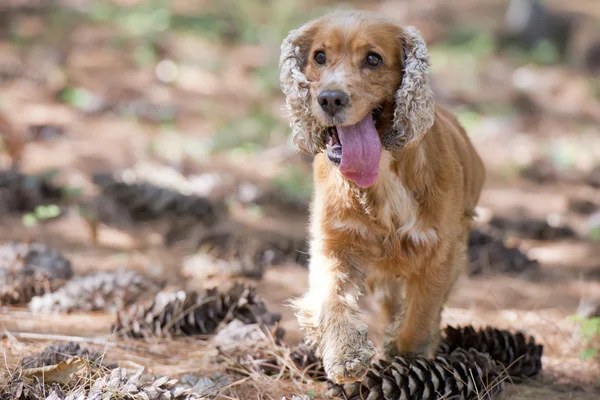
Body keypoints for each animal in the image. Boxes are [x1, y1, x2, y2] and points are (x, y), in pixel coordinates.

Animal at [278, 10, 486, 384]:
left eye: (373, 59)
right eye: (319, 56)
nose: (330, 98)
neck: (382, 171)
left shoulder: (439, 251)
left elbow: (419, 314)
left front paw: (406, 353)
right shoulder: (335, 242)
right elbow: (331, 297)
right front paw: (345, 354)